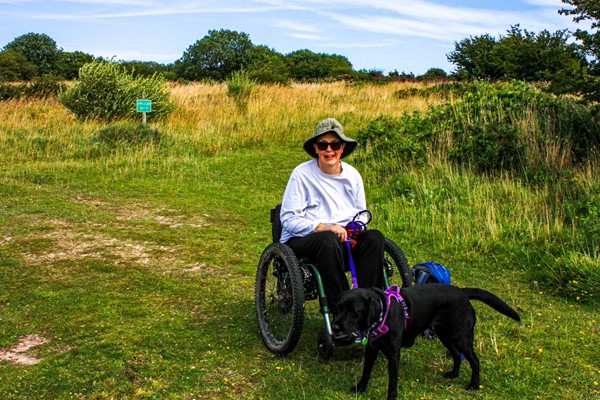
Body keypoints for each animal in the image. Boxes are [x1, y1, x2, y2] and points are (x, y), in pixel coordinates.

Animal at [332, 284, 520, 400]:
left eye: (353, 312)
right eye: (338, 309)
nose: (334, 327)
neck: (382, 314)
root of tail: (462, 292)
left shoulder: (393, 355)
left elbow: (392, 381)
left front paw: (391, 397)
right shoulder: (372, 349)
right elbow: (366, 371)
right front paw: (360, 388)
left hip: (461, 336)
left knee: (474, 360)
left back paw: (473, 384)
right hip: (445, 335)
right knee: (456, 354)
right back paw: (453, 374)